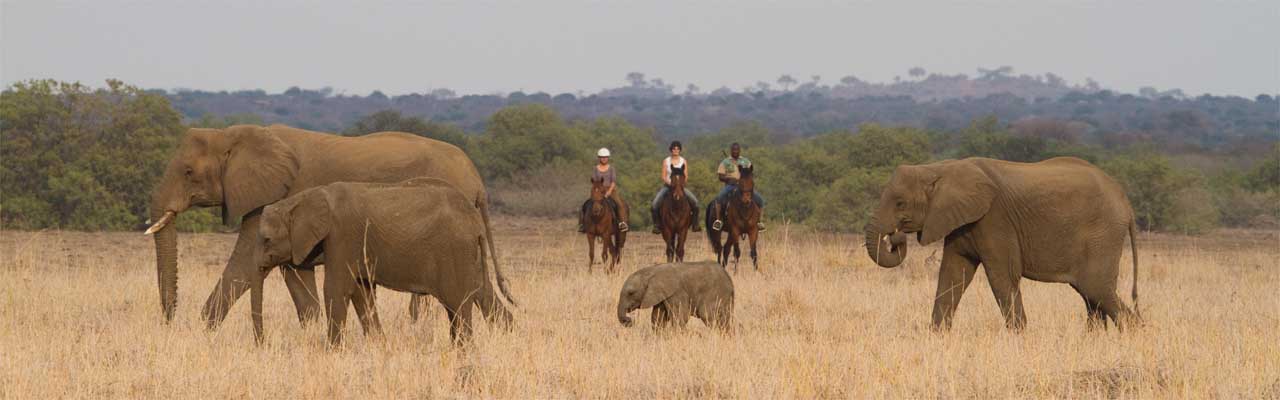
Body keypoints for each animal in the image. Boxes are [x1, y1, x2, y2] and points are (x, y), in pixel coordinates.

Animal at [147, 124, 506, 328]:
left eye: (189, 172)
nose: (169, 322)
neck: (237, 133)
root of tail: (477, 180)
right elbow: (295, 273)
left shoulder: (277, 196)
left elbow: (246, 262)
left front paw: (203, 332)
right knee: (480, 285)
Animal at [254, 176, 514, 346]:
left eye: (267, 240)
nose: (263, 343)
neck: (305, 197)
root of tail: (475, 220)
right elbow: (362, 291)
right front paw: (379, 345)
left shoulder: (342, 235)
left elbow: (336, 289)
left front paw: (332, 351)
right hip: (468, 254)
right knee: (481, 293)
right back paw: (505, 336)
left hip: (454, 250)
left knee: (458, 304)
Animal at [865, 156, 1146, 330]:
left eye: (900, 203)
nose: (895, 237)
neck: (940, 169)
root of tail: (1126, 204)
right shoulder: (959, 222)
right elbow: (953, 274)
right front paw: (937, 336)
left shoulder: (994, 220)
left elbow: (1001, 276)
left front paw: (1018, 337)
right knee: (1091, 295)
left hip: (1102, 235)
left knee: (1096, 288)